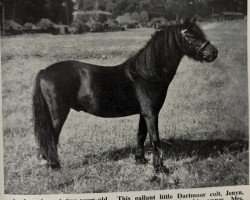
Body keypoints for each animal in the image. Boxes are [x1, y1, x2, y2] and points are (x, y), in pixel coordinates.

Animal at [32, 18, 217, 173]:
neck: (147, 74)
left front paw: (140, 160)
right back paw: (55, 166)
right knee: (51, 137)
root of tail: (45, 71)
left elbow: (141, 135)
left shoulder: (144, 113)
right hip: (58, 115)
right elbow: (155, 139)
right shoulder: (151, 114)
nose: (214, 53)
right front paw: (160, 168)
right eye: (190, 35)